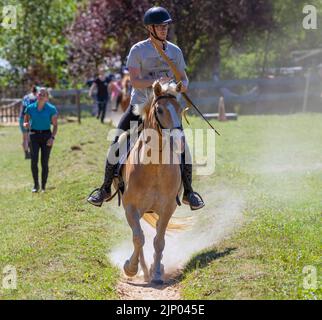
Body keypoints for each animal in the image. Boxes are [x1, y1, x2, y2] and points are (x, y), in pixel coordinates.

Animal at [115, 80, 186, 284]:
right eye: (160, 110)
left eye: (180, 109)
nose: (178, 140)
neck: (154, 166)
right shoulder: (131, 207)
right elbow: (139, 239)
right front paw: (131, 268)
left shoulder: (168, 208)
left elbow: (159, 241)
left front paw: (157, 272)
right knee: (138, 236)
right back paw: (143, 270)